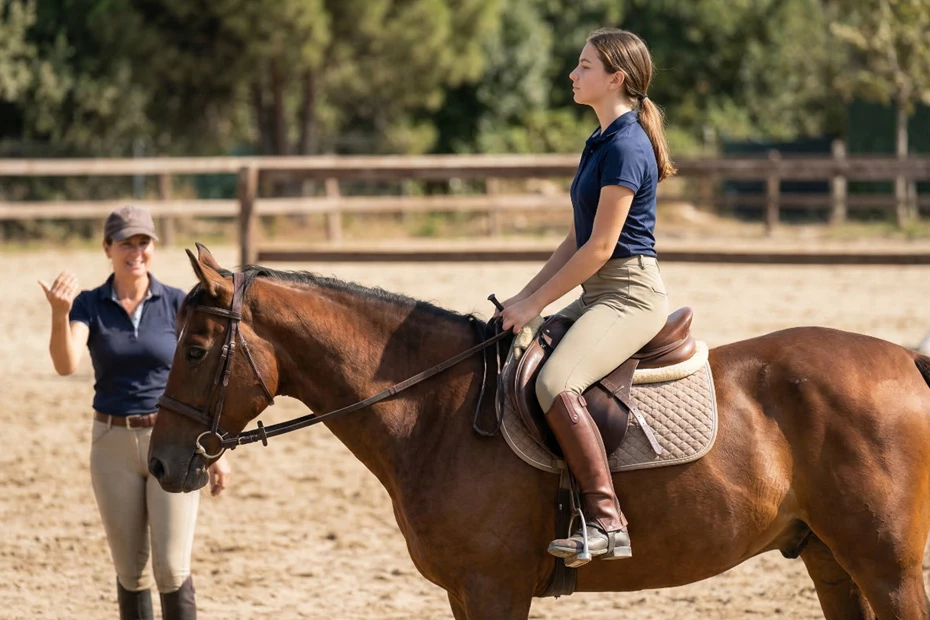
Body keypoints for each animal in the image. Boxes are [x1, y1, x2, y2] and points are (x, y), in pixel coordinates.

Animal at [149, 244, 930, 619]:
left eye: (196, 350)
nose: (160, 466)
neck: (436, 410)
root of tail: (904, 360)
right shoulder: (466, 592)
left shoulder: (493, 588)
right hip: (830, 559)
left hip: (888, 569)